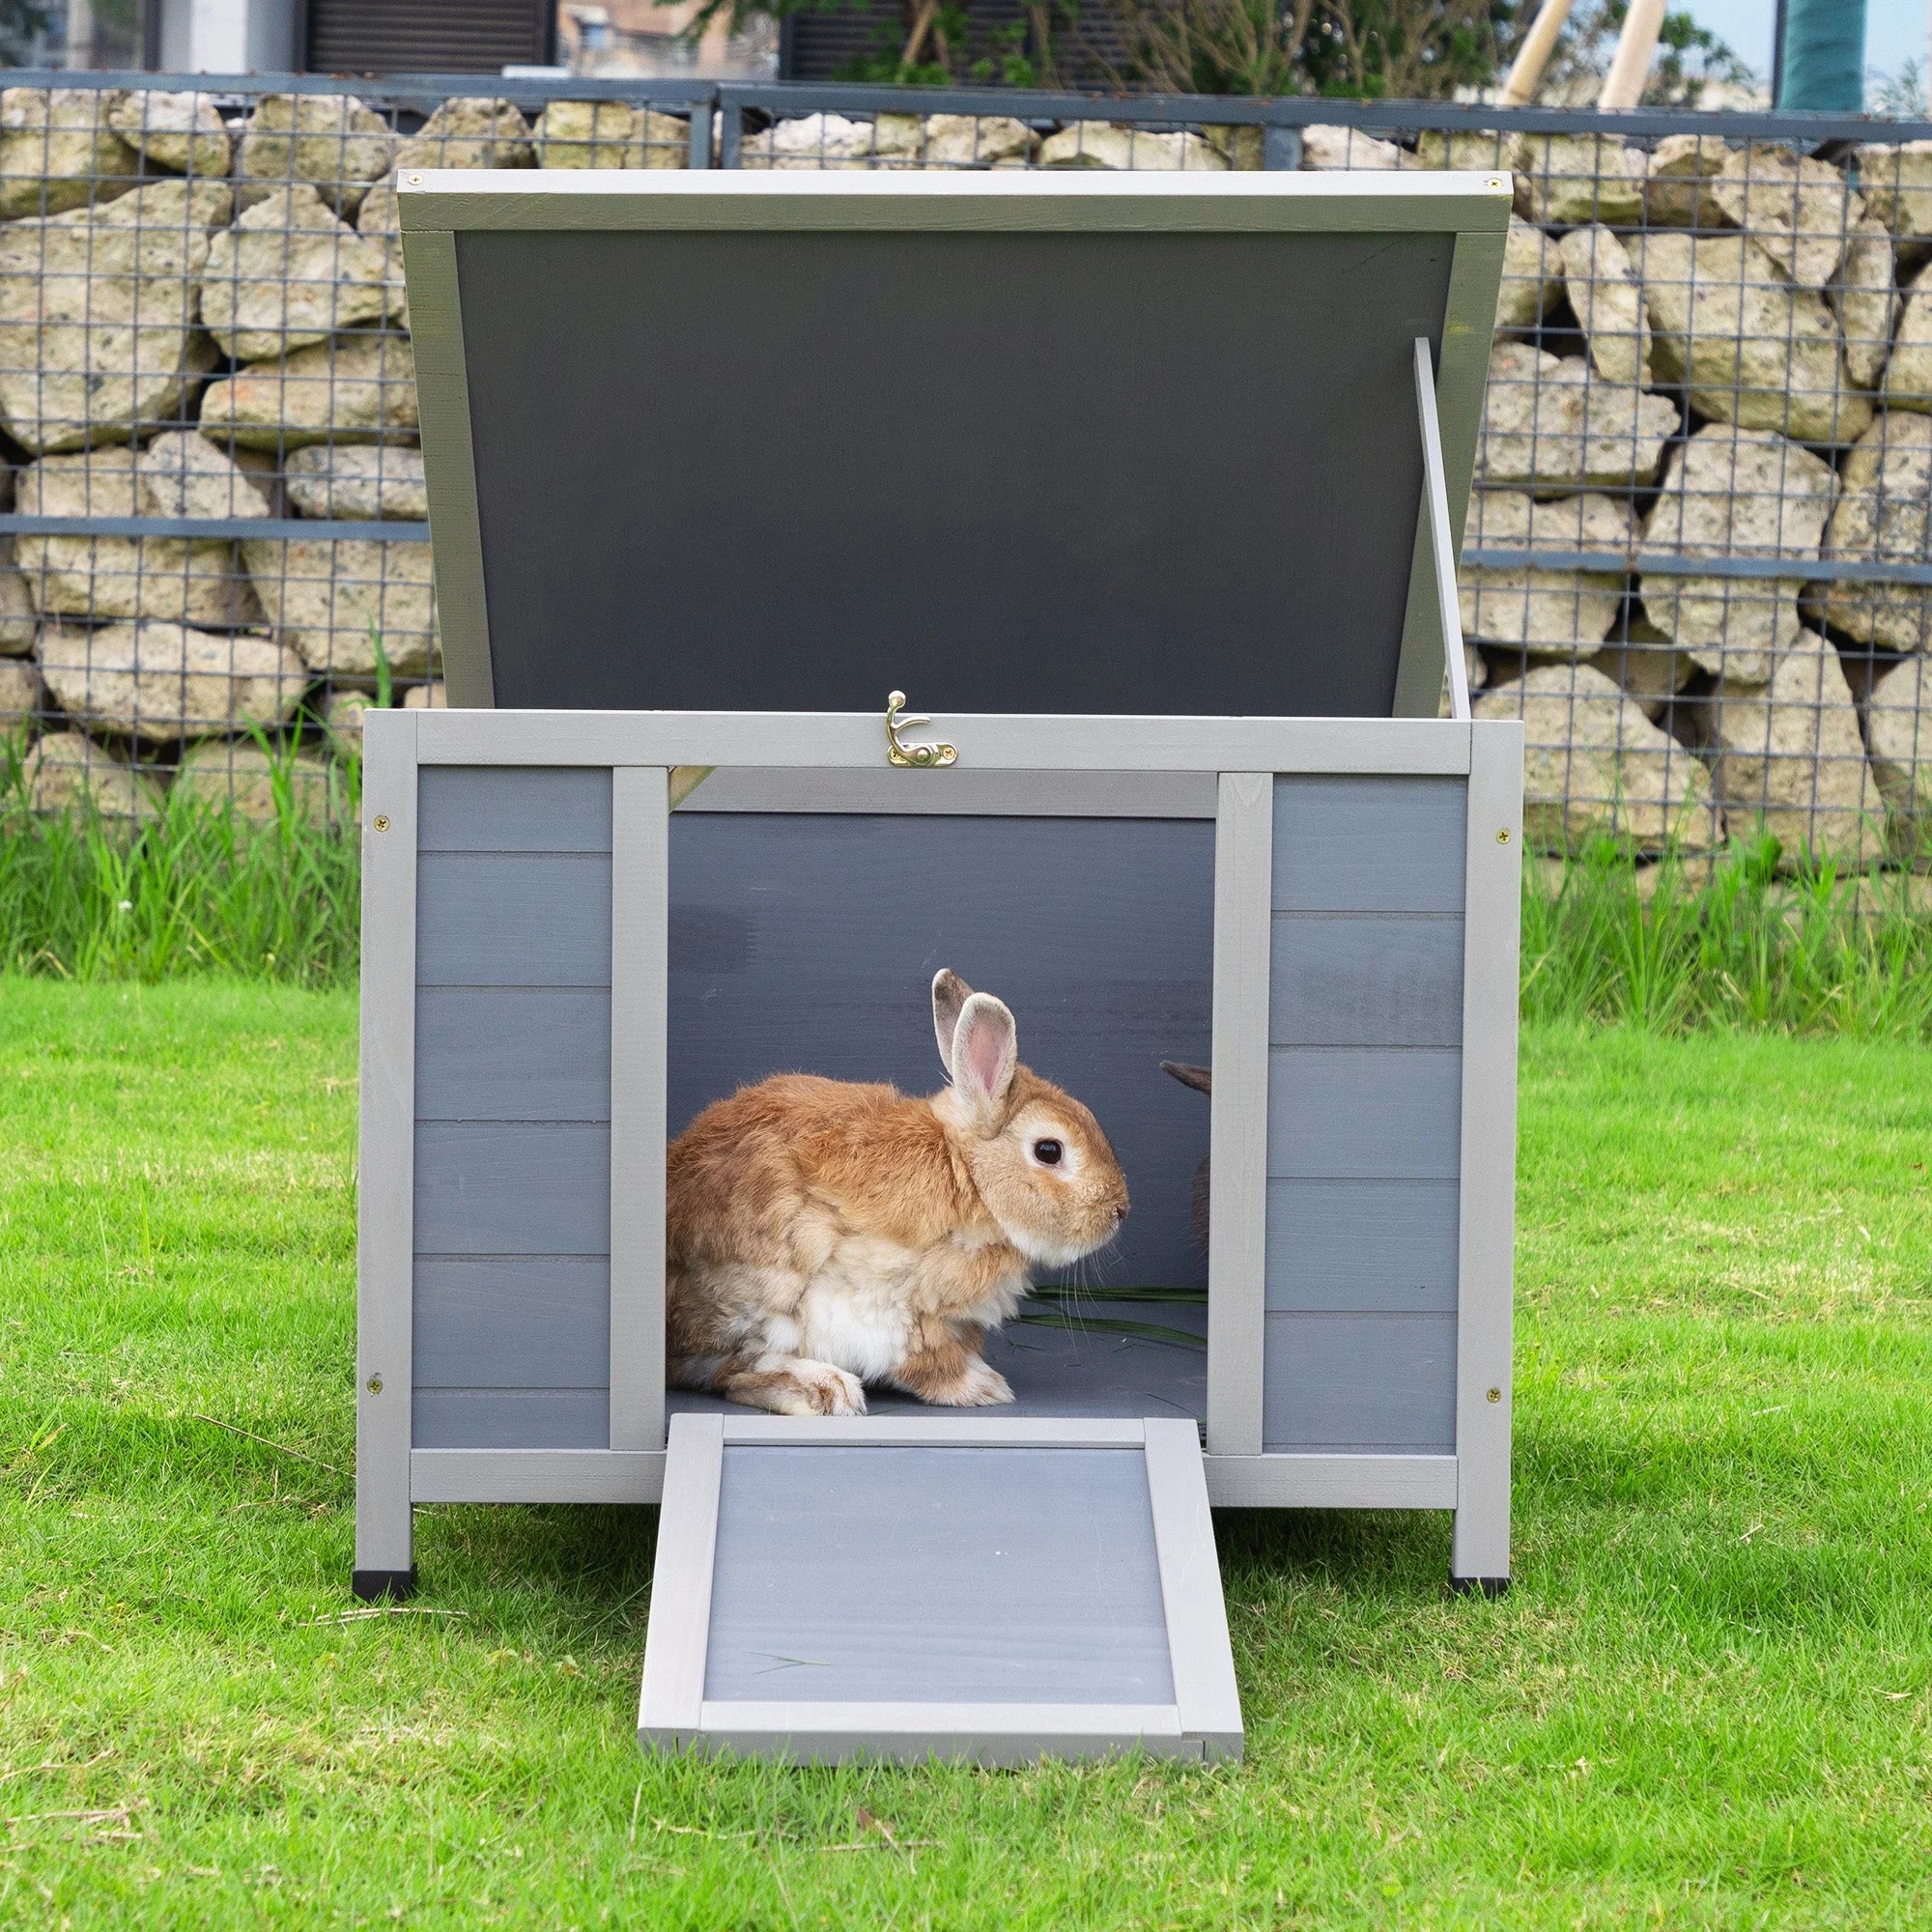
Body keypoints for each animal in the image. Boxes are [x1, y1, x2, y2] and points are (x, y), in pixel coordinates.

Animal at [665, 966, 1128, 1422]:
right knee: (733, 1371)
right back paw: (824, 1390)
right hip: (769, 1297)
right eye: (1049, 1151)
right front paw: (982, 1388)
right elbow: (926, 1360)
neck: (971, 1176)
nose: (1120, 1210)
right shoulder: (904, 1312)